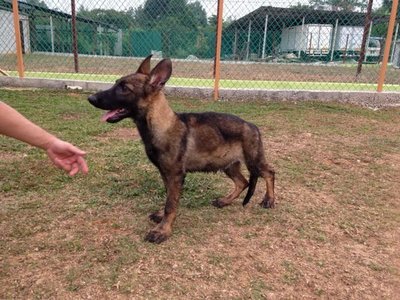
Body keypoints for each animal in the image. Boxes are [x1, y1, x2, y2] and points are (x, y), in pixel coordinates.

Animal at [87, 55, 276, 244]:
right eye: (116, 83)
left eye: (125, 88)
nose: (90, 98)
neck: (161, 124)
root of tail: (252, 126)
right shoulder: (165, 173)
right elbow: (169, 197)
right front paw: (161, 217)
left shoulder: (175, 175)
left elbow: (170, 204)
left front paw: (162, 230)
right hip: (228, 164)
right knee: (243, 182)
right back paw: (225, 201)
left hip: (253, 160)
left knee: (269, 172)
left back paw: (269, 200)